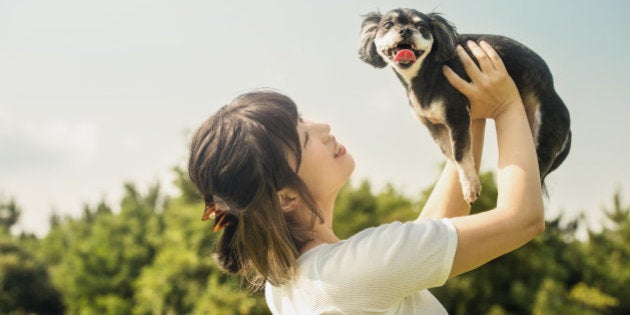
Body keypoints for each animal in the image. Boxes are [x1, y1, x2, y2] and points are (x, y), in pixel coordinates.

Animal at [360, 8, 572, 204]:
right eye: (388, 25)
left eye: (421, 27)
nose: (405, 30)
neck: (427, 72)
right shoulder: (434, 126)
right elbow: (451, 154)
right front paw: (467, 179)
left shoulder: (457, 114)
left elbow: (460, 153)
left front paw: (470, 185)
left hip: (543, 141)